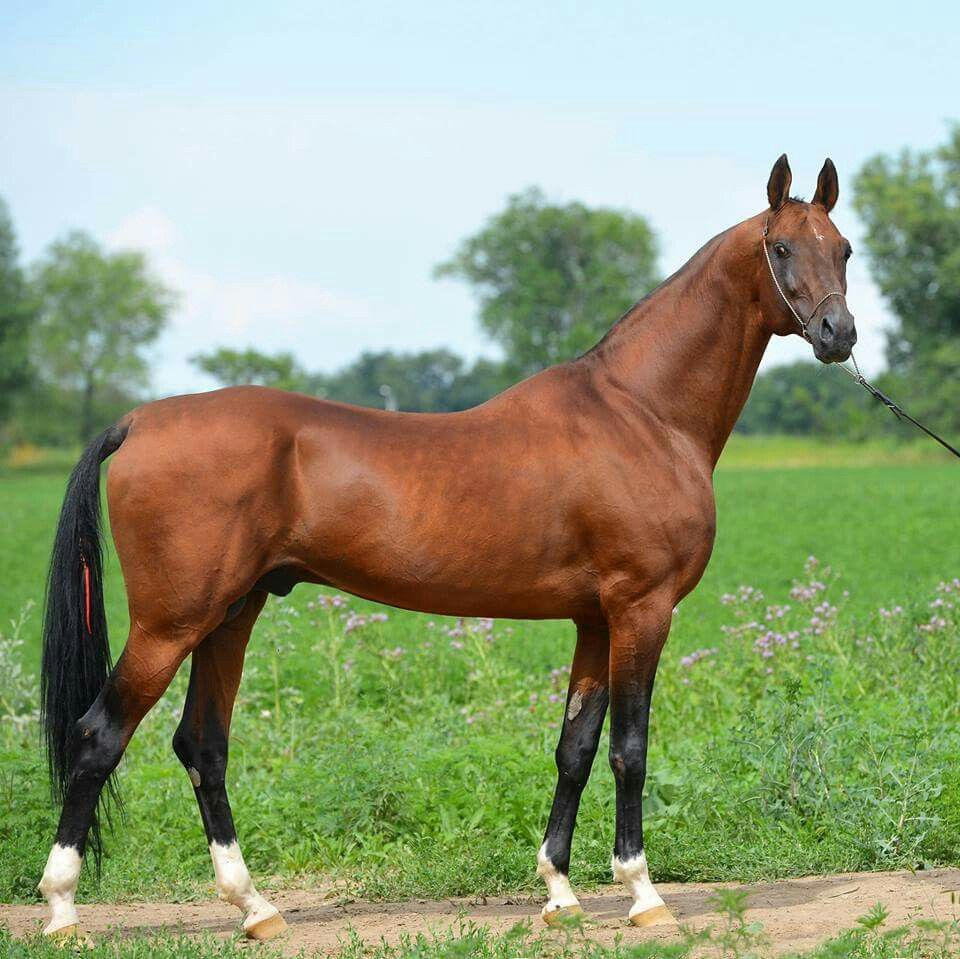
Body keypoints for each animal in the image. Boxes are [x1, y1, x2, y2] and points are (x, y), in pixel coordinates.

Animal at [37, 154, 856, 940]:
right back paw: (63, 908)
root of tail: (138, 421)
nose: (837, 334)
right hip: (169, 625)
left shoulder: (595, 619)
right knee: (98, 737)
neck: (641, 411)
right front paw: (643, 894)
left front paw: (559, 893)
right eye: (781, 247)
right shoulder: (641, 609)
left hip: (229, 617)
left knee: (203, 746)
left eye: (844, 248)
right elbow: (630, 748)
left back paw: (255, 908)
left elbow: (575, 748)